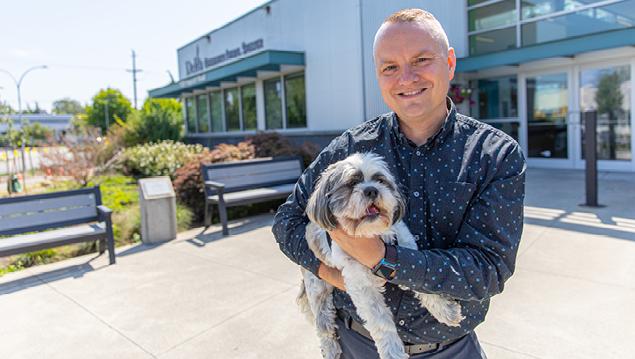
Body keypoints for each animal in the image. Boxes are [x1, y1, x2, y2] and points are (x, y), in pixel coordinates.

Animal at [298, 153, 468, 359]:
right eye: (352, 183)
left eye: (380, 180)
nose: (371, 190)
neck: (374, 234)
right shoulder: (361, 285)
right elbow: (380, 321)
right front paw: (392, 352)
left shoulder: (406, 248)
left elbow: (423, 278)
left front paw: (444, 308)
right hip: (317, 290)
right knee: (323, 323)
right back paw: (330, 348)